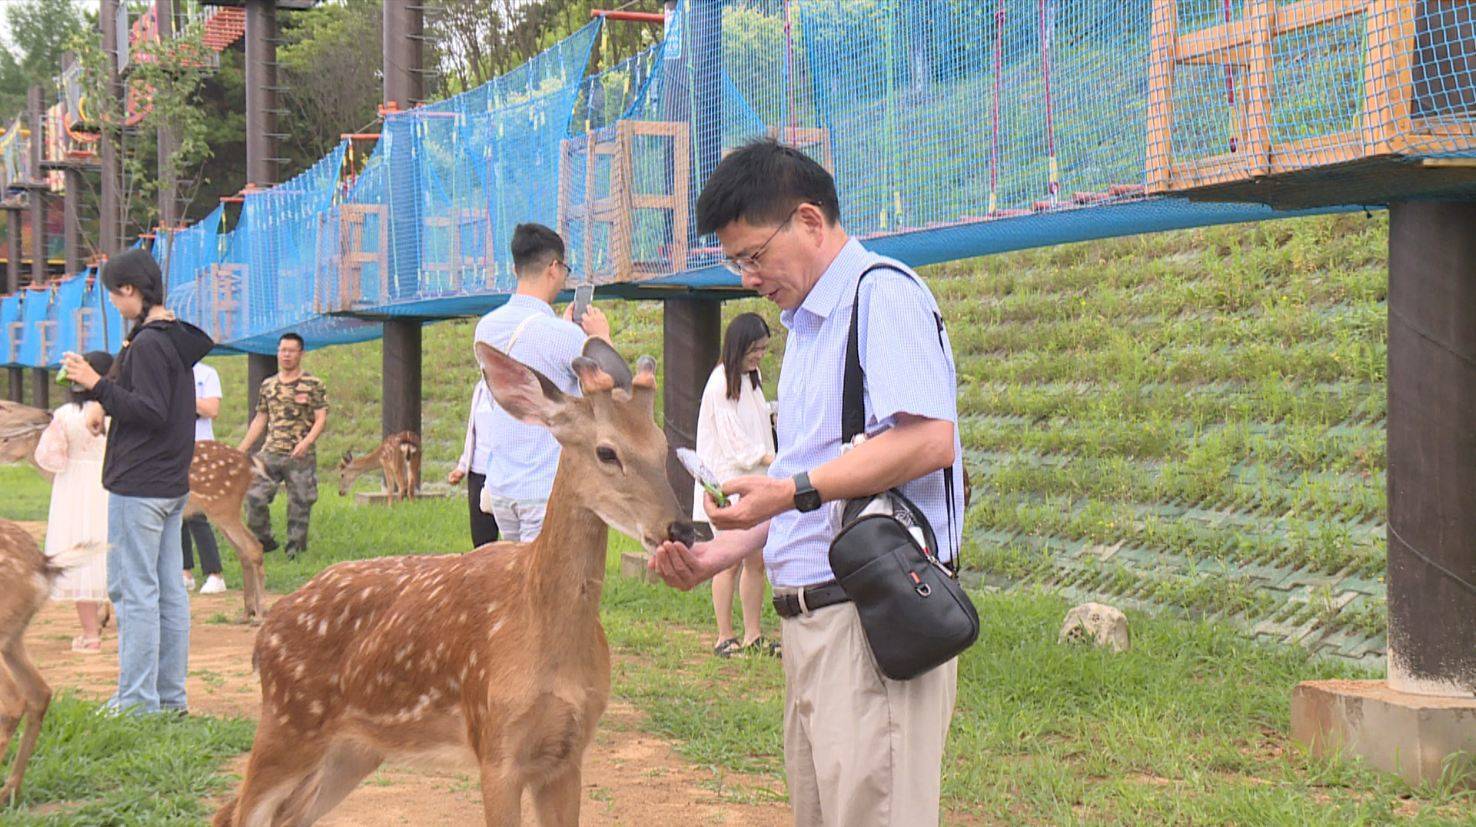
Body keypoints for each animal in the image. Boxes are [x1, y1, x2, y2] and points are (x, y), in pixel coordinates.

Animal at [215, 338, 696, 827]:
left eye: (663, 447)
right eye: (606, 452)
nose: (680, 529)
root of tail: (265, 638)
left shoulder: (568, 753)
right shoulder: (495, 742)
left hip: (351, 749)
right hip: (288, 720)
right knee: (233, 812)